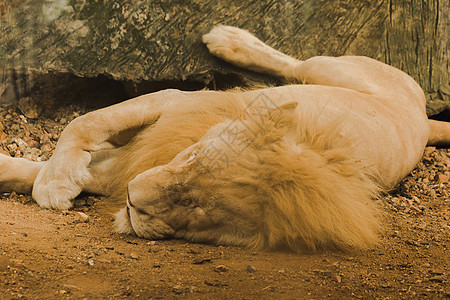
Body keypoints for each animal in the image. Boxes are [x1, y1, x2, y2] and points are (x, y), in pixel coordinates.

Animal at [0, 25, 450, 251]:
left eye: (197, 210)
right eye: (191, 155)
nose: (131, 200)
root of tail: (423, 117)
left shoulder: (136, 163)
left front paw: (49, 180)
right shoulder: (174, 101)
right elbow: (85, 122)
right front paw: (55, 183)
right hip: (333, 69)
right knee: (295, 62)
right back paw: (228, 40)